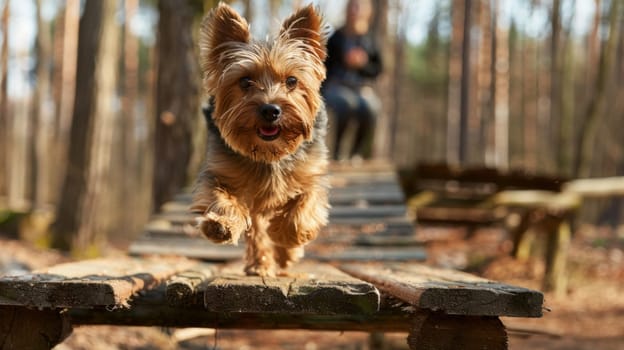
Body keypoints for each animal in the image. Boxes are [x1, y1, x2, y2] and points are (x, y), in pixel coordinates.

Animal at [191, 2, 332, 276]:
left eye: (292, 81)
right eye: (245, 81)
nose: (270, 110)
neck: (269, 154)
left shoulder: (311, 174)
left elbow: (303, 206)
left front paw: (286, 236)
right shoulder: (220, 172)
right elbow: (221, 197)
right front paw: (220, 224)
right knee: (256, 229)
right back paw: (259, 263)